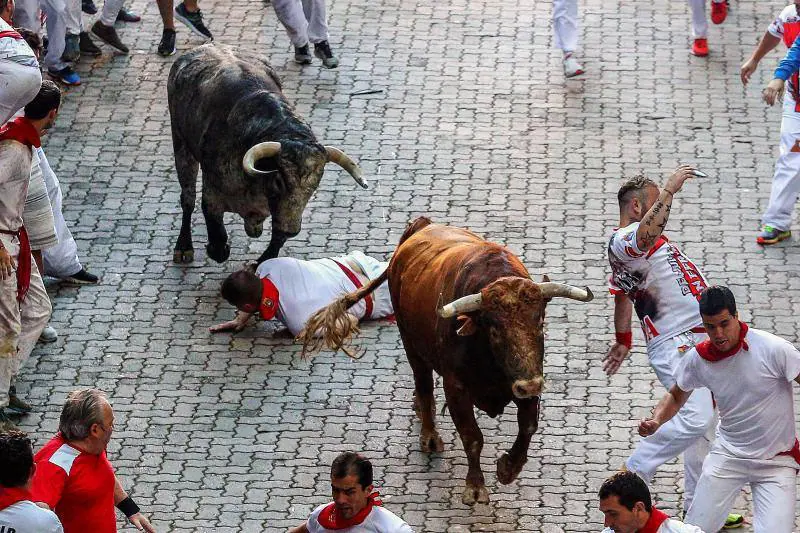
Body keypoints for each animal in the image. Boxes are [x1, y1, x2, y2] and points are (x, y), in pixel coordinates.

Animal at [296, 216, 592, 502]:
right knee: (424, 384)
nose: (530, 385)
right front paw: (475, 487)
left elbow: (528, 427)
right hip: (410, 342)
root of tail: (421, 226)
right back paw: (429, 434)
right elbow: (472, 436)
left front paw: (509, 468)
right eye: (494, 328)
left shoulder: (526, 378)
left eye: (539, 321)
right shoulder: (456, 387)